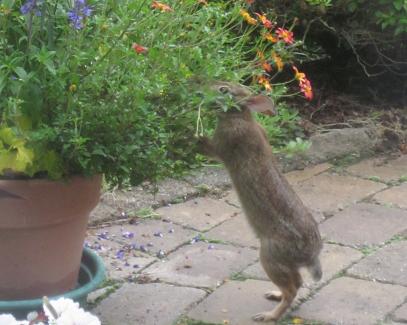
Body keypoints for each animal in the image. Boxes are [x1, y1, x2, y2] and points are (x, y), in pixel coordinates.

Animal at [199, 81, 324, 322]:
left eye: (223, 90)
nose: (203, 89)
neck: (240, 115)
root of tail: (310, 255)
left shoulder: (225, 143)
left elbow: (210, 149)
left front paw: (191, 137)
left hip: (270, 256)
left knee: (292, 288)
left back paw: (268, 316)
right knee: (297, 283)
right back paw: (273, 296)